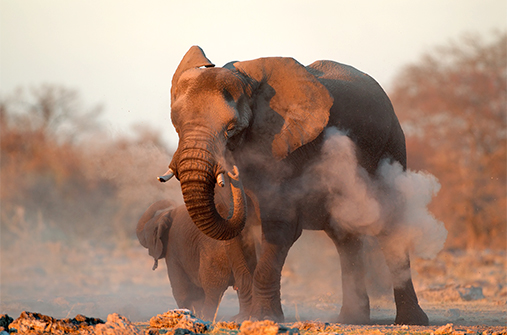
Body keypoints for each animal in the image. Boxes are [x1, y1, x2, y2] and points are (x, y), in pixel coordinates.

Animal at [137, 192, 260, 320]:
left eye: (145, 234)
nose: (171, 202)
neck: (165, 216)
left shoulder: (173, 251)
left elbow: (181, 290)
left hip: (213, 256)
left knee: (213, 290)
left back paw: (208, 319)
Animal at [161, 46, 430, 326]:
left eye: (232, 129)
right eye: (176, 124)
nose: (232, 171)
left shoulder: (287, 149)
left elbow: (280, 228)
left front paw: (265, 317)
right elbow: (236, 235)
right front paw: (244, 317)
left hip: (391, 147)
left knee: (391, 228)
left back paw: (411, 321)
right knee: (344, 237)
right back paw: (351, 318)